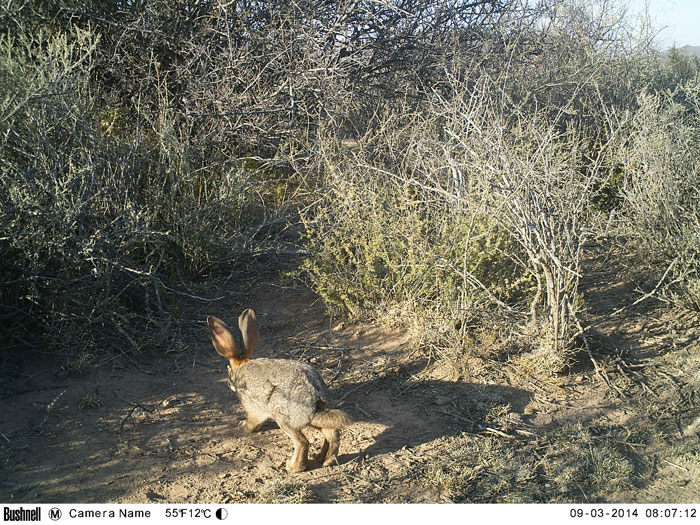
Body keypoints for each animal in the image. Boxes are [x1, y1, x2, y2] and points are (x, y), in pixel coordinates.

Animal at [207, 309, 353, 473]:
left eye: (227, 370)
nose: (228, 382)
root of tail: (316, 400)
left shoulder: (254, 409)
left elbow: (253, 422)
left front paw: (243, 426)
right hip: (314, 421)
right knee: (332, 434)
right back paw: (325, 460)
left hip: (282, 416)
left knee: (303, 442)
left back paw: (293, 467)